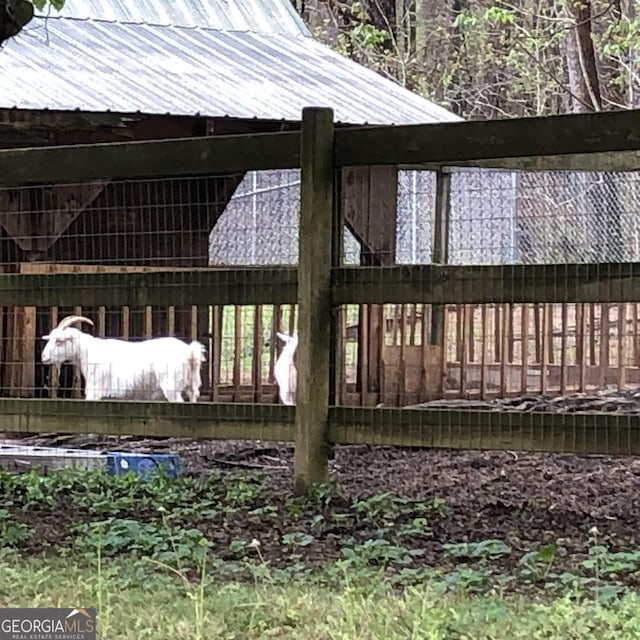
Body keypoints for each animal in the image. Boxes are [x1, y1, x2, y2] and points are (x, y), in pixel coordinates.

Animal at [40, 314, 205, 400]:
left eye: (59, 340)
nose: (43, 357)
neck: (87, 352)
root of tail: (190, 352)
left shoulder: (95, 391)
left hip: (171, 386)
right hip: (191, 385)